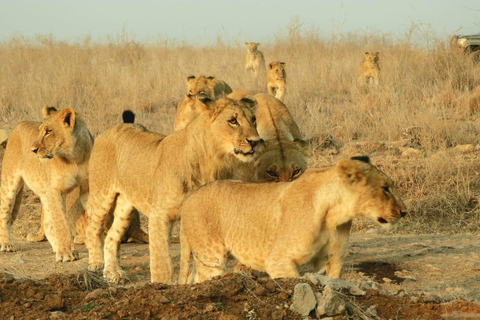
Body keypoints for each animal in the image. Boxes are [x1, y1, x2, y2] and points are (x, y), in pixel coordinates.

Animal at [0, 106, 93, 262]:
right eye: (40, 131)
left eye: (48, 132)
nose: (33, 150)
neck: (75, 157)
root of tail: (19, 125)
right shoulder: (55, 190)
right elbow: (61, 222)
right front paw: (67, 253)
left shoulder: (88, 188)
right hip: (9, 182)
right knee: (4, 213)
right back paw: (6, 244)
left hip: (44, 192)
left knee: (48, 223)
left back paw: (56, 247)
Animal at [85, 97, 258, 282]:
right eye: (233, 121)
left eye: (253, 119)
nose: (255, 141)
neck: (209, 159)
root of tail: (109, 129)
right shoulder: (159, 215)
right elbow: (162, 261)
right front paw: (161, 285)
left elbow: (193, 259)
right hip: (101, 194)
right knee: (93, 229)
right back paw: (95, 264)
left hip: (126, 205)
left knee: (112, 236)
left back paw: (112, 273)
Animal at [178, 156, 406, 284]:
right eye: (385, 188)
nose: (404, 212)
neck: (335, 212)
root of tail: (189, 197)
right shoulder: (278, 261)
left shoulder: (331, 260)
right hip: (210, 256)